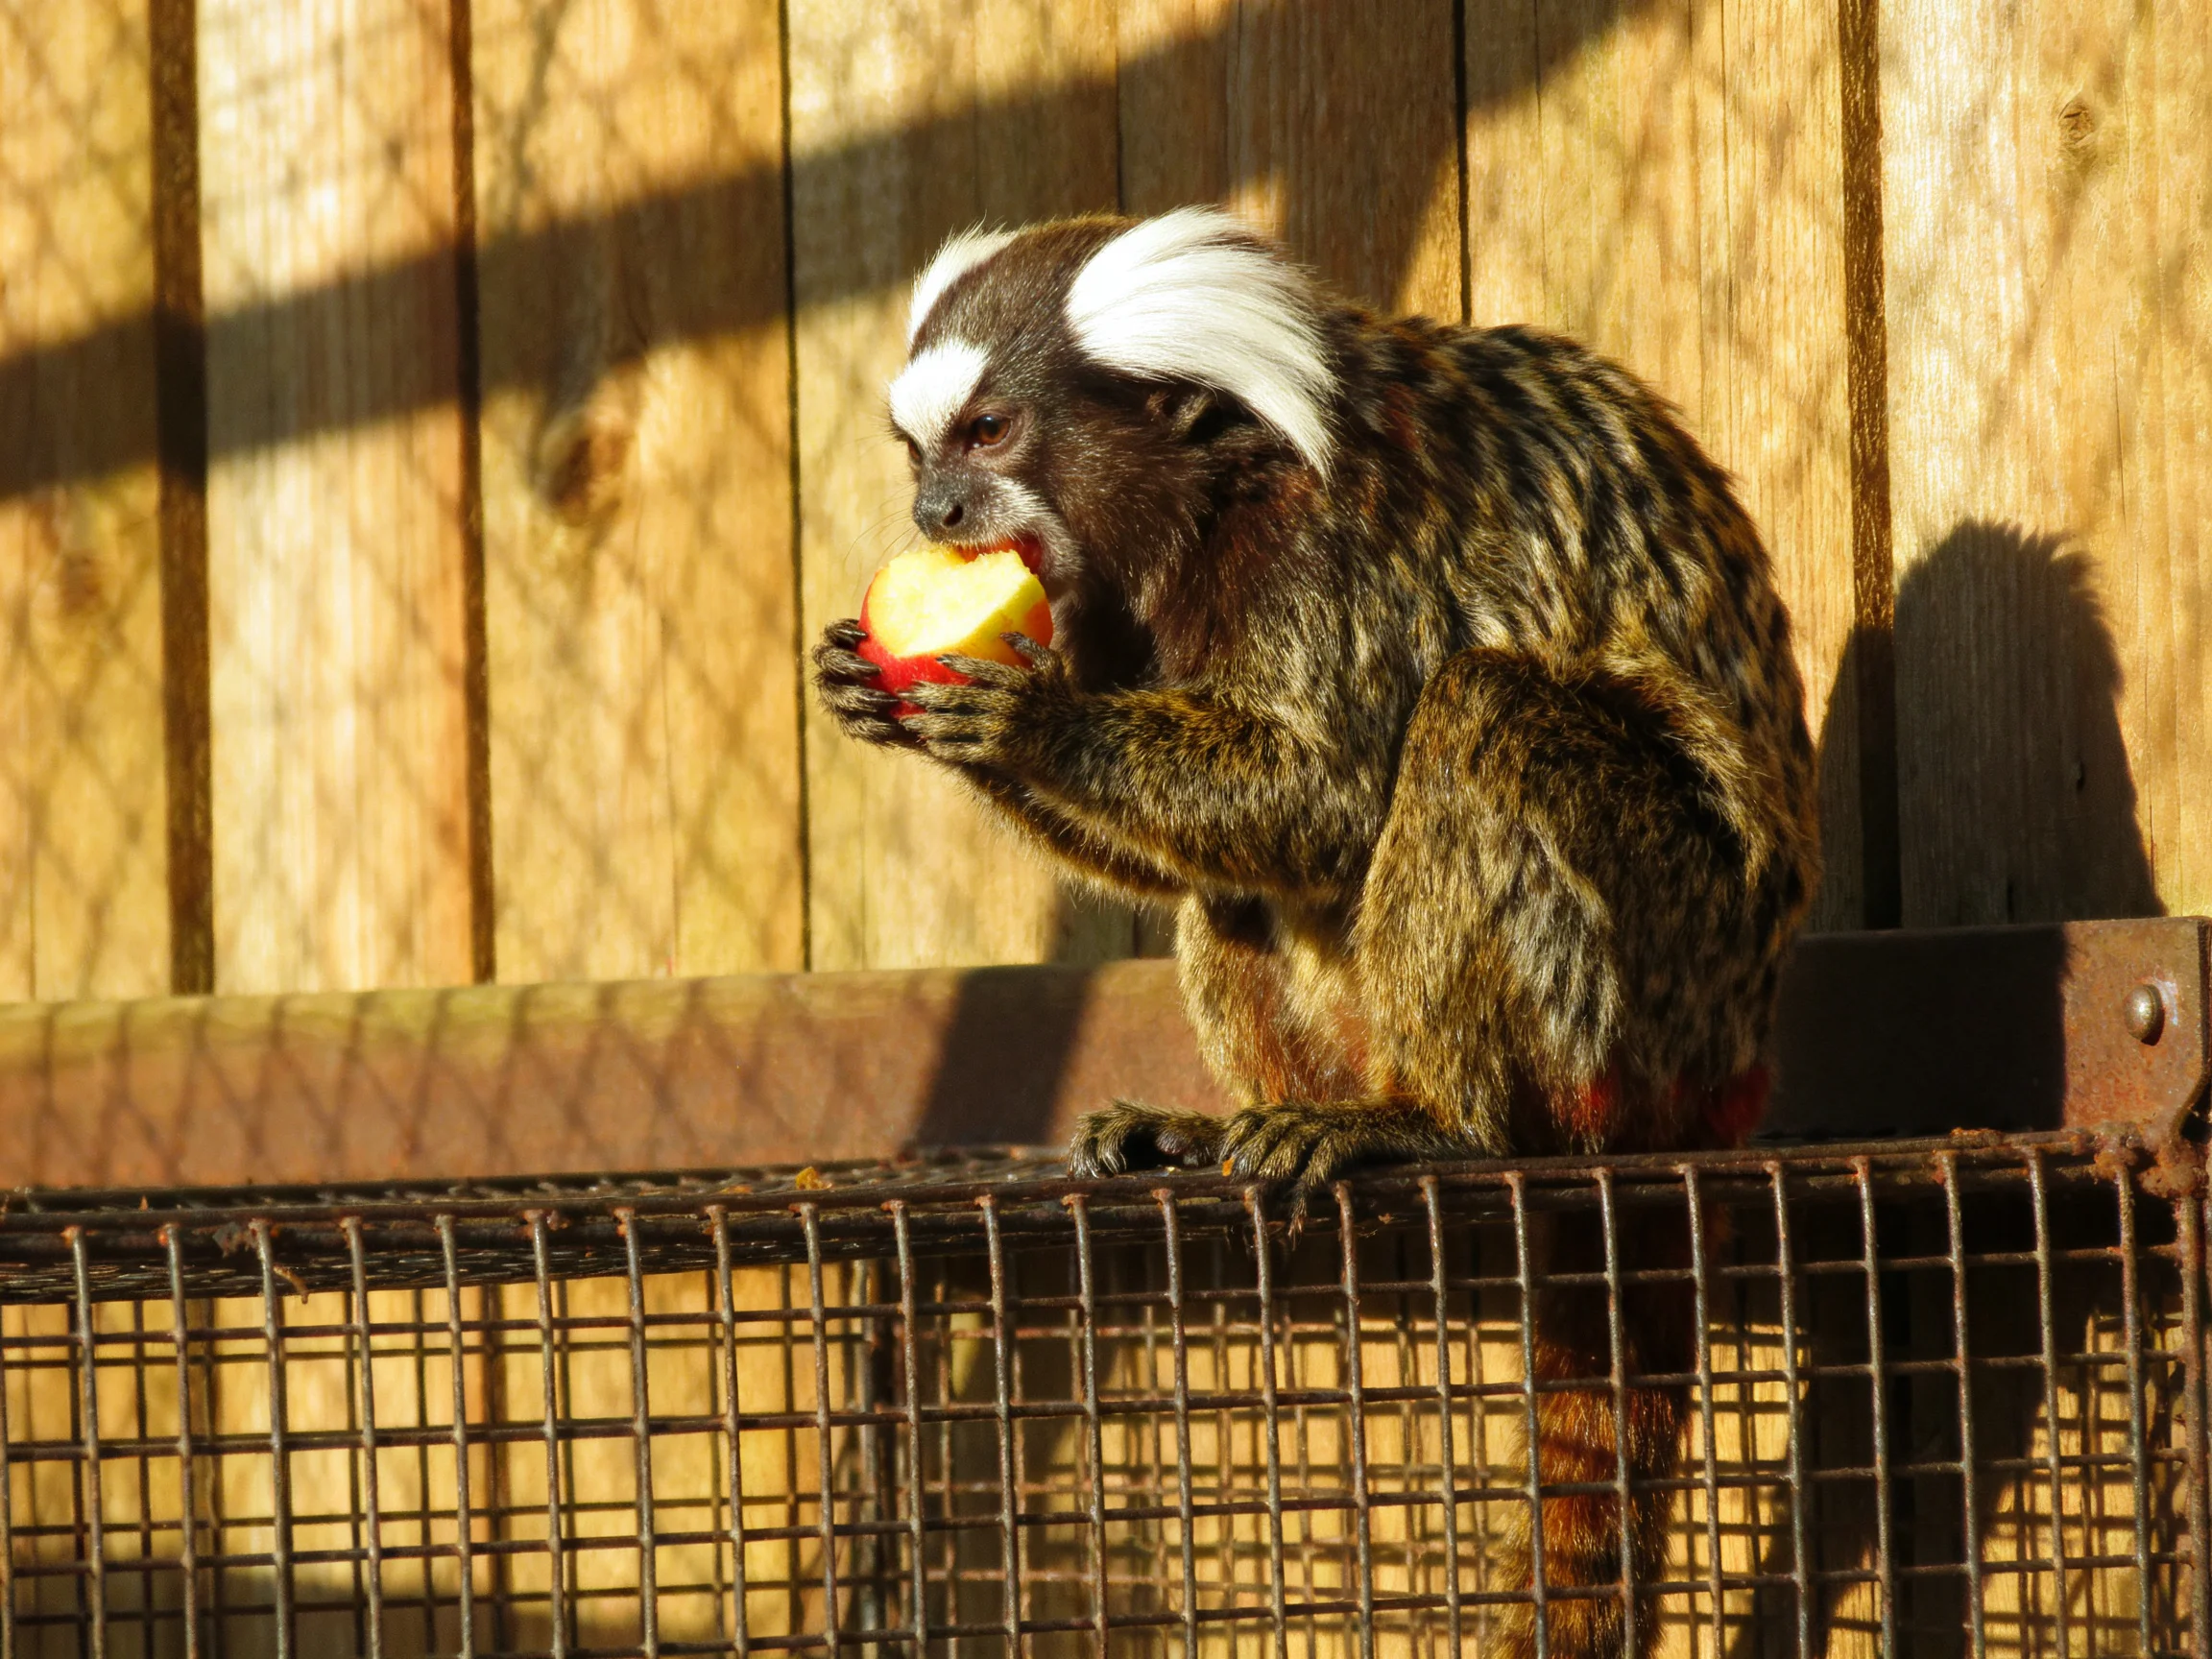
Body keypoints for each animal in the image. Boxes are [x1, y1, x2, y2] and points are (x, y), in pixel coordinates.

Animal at [813, 208, 1819, 1658]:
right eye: (924, 451)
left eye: (992, 431)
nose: (934, 513)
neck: (1218, 497)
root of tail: (1734, 1068)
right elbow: (1192, 849)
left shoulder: (1333, 557)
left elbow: (1331, 797)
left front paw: (1030, 723)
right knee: (1224, 889)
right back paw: (1221, 1130)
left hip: (1667, 986)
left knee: (1485, 713)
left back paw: (1438, 1122)